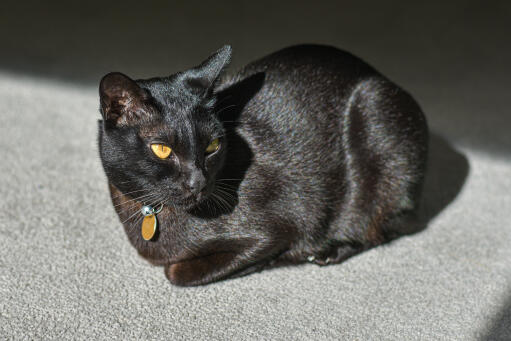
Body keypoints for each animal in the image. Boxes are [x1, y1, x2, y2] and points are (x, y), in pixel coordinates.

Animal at [98, 44, 430, 284]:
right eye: (162, 149)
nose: (198, 181)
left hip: (376, 124)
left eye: (212, 146)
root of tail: (380, 76)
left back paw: (329, 250)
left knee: (390, 224)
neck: (150, 211)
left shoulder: (274, 230)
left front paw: (283, 257)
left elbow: (177, 272)